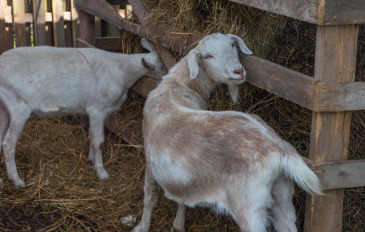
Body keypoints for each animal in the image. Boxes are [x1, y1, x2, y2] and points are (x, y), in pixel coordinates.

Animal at [0, 37, 164, 187]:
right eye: (160, 68)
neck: (121, 71)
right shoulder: (97, 108)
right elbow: (99, 141)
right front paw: (101, 172)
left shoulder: (91, 110)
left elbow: (91, 136)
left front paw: (90, 160)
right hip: (18, 106)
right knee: (8, 144)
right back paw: (17, 181)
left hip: (4, 109)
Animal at [132, 33, 320, 232]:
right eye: (207, 56)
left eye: (232, 45)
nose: (238, 71)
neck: (176, 89)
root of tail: (281, 149)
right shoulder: (184, 182)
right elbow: (181, 200)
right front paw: (178, 224)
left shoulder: (150, 163)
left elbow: (149, 196)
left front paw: (142, 226)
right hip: (282, 195)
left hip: (249, 207)